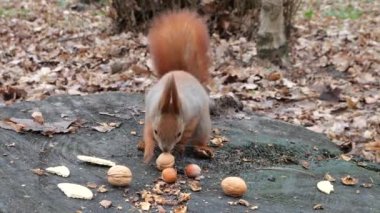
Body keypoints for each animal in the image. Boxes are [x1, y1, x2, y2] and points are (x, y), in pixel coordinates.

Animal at [142, 10, 214, 163]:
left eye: (178, 133)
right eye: (156, 131)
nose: (165, 149)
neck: (170, 102)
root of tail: (181, 71)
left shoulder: (193, 116)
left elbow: (187, 134)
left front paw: (180, 147)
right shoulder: (151, 116)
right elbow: (147, 133)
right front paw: (148, 150)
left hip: (204, 127)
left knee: (200, 139)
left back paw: (202, 149)